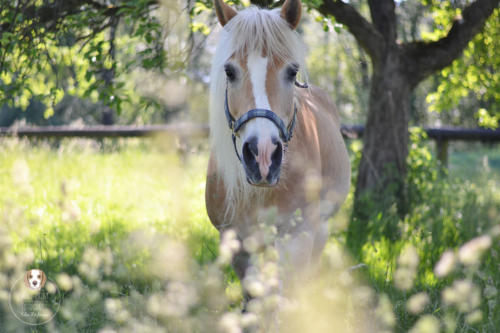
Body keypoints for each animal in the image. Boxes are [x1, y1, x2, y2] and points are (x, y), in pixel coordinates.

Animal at [205, 0, 350, 294]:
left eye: (292, 72)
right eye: (229, 72)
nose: (262, 156)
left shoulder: (297, 239)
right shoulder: (237, 245)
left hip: (320, 230)